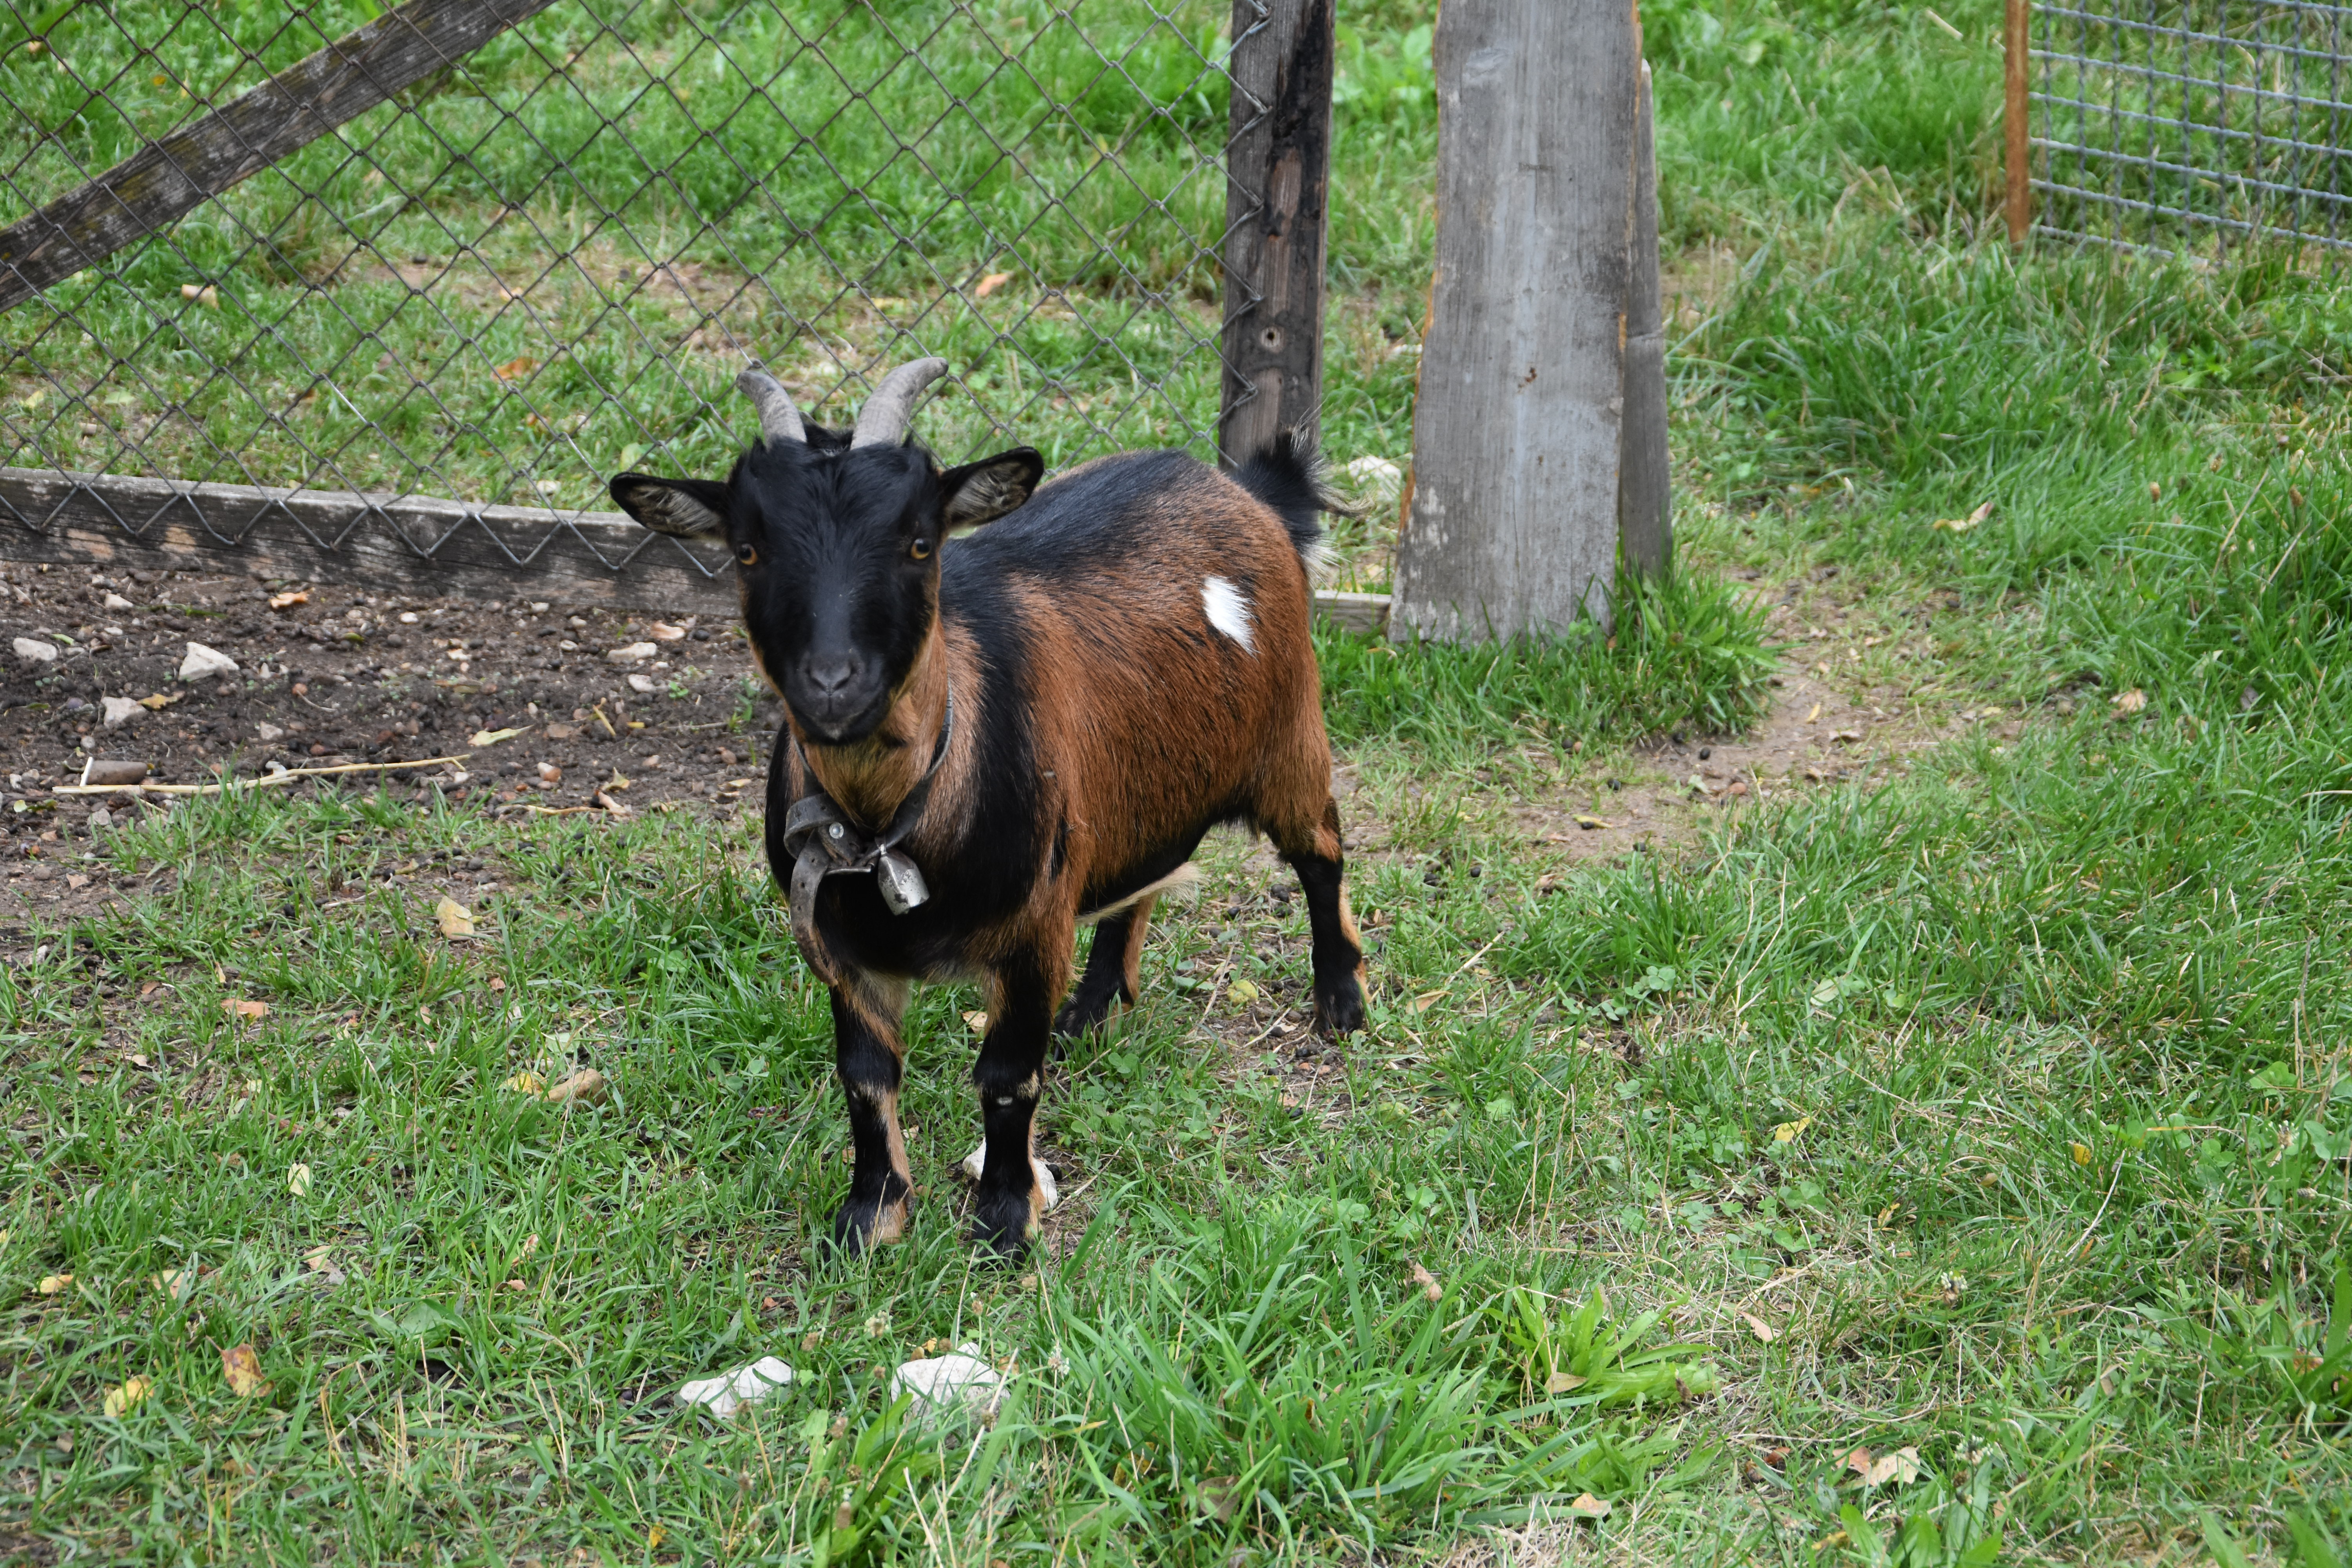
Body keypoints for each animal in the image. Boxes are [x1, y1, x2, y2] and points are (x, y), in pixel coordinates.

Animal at [608, 358, 1366, 1258]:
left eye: (920, 541)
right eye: (749, 549)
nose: (833, 685)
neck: (887, 831)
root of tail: (1245, 490)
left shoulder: (1033, 929)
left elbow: (1007, 1078)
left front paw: (1006, 1220)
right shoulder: (843, 950)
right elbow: (864, 1079)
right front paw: (872, 1215)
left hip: (1291, 737)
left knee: (1322, 855)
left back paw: (1342, 1003)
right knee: (1140, 878)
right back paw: (1093, 1008)